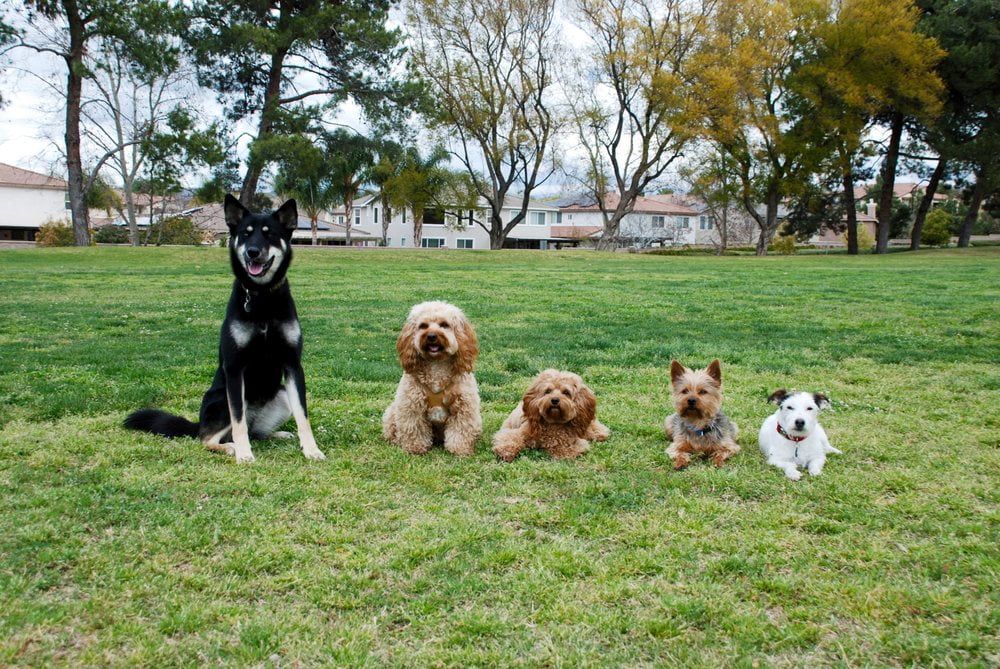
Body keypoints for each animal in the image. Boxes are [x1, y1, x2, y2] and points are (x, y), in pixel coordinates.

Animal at [120, 196, 324, 462]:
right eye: (245, 234)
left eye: (269, 234)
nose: (252, 252)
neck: (261, 298)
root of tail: (198, 423)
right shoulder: (235, 369)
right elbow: (238, 422)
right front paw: (244, 455)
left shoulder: (292, 365)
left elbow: (303, 416)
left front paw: (311, 449)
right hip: (220, 400)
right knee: (209, 438)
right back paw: (230, 447)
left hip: (280, 395)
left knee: (256, 431)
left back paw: (277, 435)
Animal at [380, 302, 482, 454]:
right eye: (423, 326)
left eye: (444, 324)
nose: (432, 336)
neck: (436, 365)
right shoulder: (411, 405)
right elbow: (415, 428)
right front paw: (415, 448)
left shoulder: (463, 407)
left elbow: (460, 430)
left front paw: (459, 449)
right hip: (393, 412)